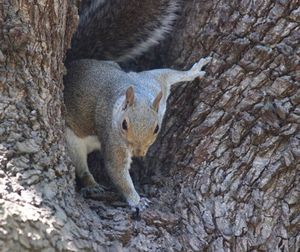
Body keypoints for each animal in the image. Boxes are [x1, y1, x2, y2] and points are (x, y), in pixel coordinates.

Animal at [64, 0, 212, 210]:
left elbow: (169, 73)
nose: (139, 153)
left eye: (157, 128)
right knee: (81, 167)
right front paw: (136, 200)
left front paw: (193, 72)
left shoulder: (155, 82)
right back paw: (92, 185)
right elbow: (117, 171)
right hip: (72, 141)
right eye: (124, 125)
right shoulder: (113, 136)